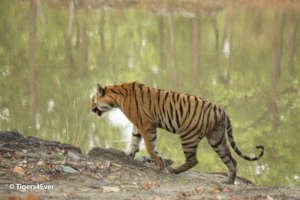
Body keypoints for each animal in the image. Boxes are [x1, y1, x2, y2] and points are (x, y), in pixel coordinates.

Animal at [90, 81, 264, 184]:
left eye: (93, 100)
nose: (90, 107)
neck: (116, 98)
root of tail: (222, 111)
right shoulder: (138, 125)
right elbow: (134, 141)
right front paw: (128, 156)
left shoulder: (147, 125)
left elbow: (150, 147)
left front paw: (160, 164)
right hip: (217, 138)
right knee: (231, 160)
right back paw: (229, 181)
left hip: (188, 136)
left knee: (193, 160)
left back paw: (174, 170)